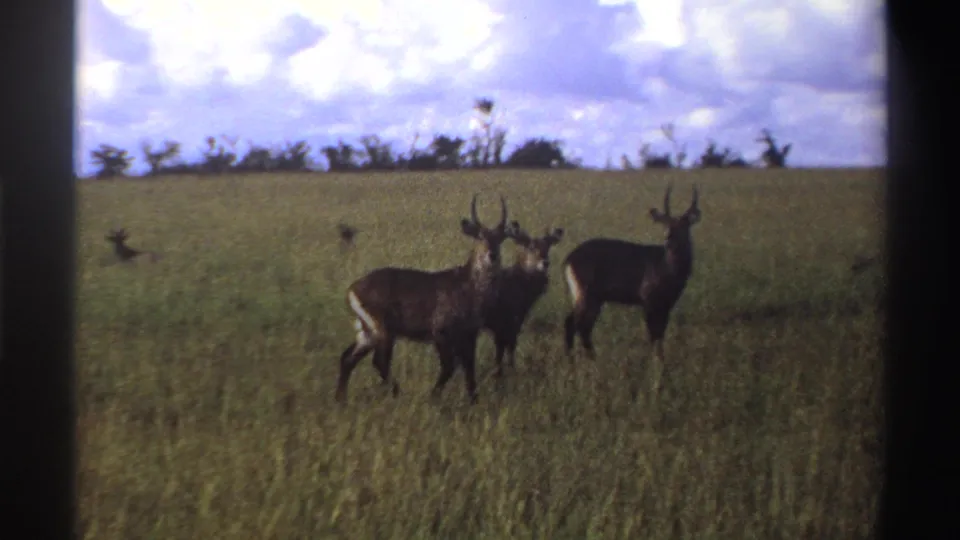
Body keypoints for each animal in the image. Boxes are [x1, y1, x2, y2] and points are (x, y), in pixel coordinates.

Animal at [335, 194, 510, 404]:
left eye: (501, 238)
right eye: (480, 236)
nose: (492, 255)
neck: (469, 286)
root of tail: (352, 289)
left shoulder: (470, 334)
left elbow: (469, 367)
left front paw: (473, 400)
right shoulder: (441, 332)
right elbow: (449, 366)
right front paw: (433, 396)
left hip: (367, 332)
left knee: (347, 358)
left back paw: (341, 401)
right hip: (383, 330)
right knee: (379, 362)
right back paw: (397, 394)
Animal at [483, 221, 564, 378]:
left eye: (548, 246)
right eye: (531, 247)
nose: (545, 262)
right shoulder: (509, 323)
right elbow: (507, 349)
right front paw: (506, 373)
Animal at [562, 184, 700, 361]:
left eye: (684, 225)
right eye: (666, 224)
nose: (668, 240)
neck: (668, 269)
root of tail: (568, 259)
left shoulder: (667, 304)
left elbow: (660, 335)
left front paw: (662, 361)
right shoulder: (648, 299)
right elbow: (653, 335)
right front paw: (655, 363)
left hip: (594, 298)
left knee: (582, 327)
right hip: (586, 294)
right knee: (573, 324)